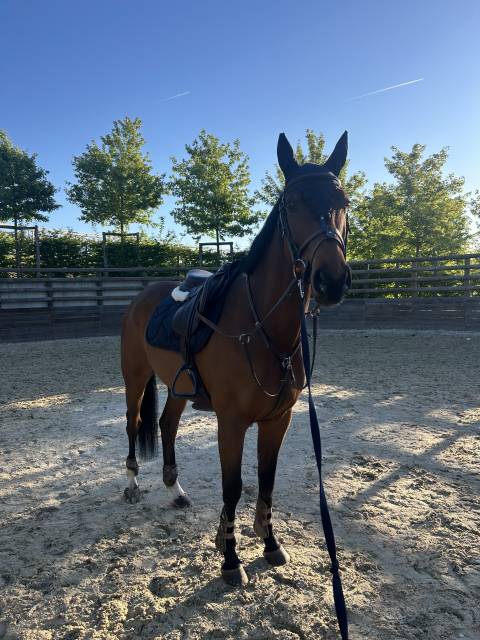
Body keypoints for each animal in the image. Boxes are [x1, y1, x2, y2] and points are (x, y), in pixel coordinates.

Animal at [120, 131, 351, 588]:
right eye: (292, 203)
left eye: (344, 202)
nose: (331, 280)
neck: (263, 328)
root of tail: (143, 295)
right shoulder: (230, 422)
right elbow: (233, 486)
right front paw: (229, 559)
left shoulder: (278, 420)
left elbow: (265, 480)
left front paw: (270, 543)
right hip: (134, 378)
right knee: (134, 423)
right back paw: (133, 483)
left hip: (177, 386)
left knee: (166, 425)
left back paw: (175, 491)